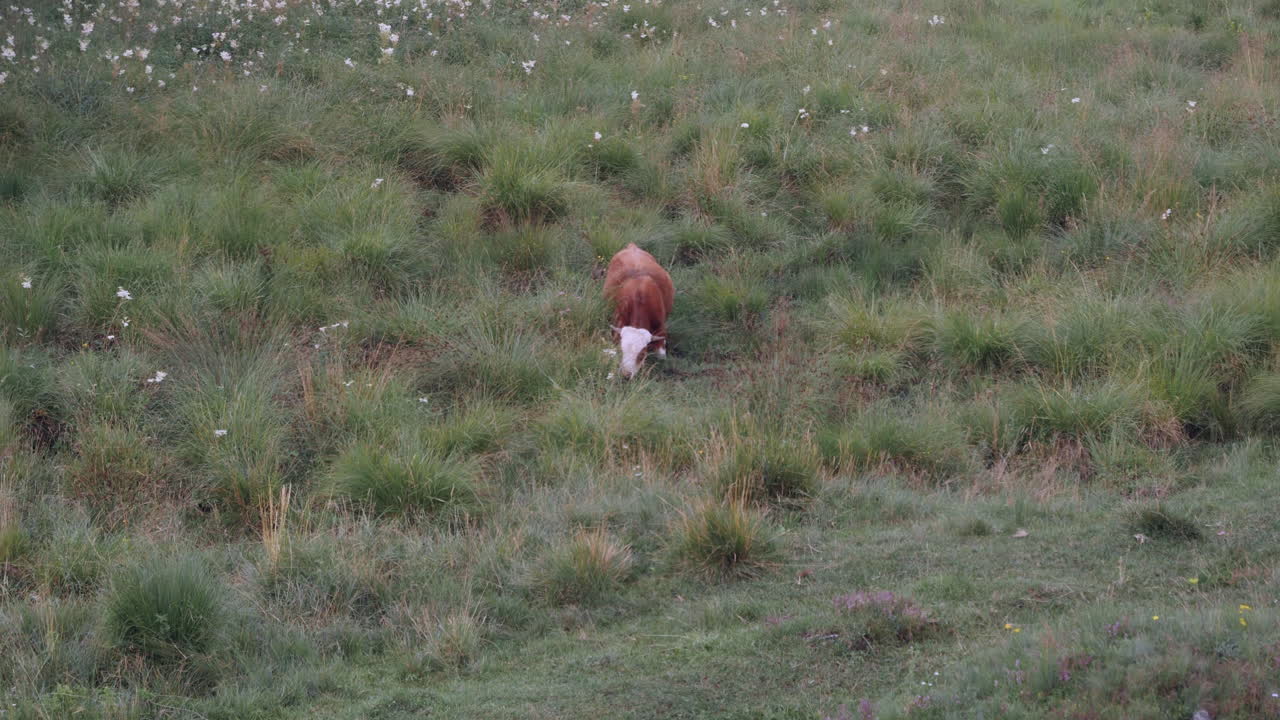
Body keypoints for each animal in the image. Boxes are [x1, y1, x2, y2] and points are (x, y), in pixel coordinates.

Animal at [604, 243, 675, 378]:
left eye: (642, 354)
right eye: (621, 351)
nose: (626, 375)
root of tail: (632, 247)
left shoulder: (661, 328)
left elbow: (661, 356)